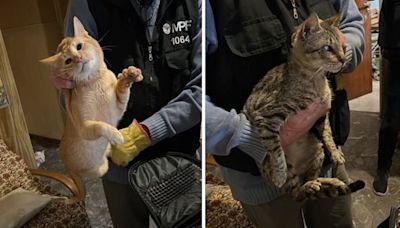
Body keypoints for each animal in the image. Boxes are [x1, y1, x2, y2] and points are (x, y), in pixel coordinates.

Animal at [40, 17, 143, 178]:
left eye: (79, 46)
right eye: (68, 61)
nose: (78, 58)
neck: (95, 82)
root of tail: (66, 165)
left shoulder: (119, 107)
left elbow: (122, 91)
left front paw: (128, 76)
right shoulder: (85, 128)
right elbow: (100, 125)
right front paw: (116, 135)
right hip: (97, 169)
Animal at [242, 13, 364, 200]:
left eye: (342, 46)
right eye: (327, 48)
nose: (343, 59)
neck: (315, 79)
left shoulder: (321, 114)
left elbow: (328, 135)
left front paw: (336, 153)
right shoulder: (266, 117)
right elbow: (275, 150)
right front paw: (279, 173)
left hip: (317, 151)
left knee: (313, 178)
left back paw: (330, 182)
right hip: (292, 168)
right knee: (296, 193)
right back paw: (306, 186)